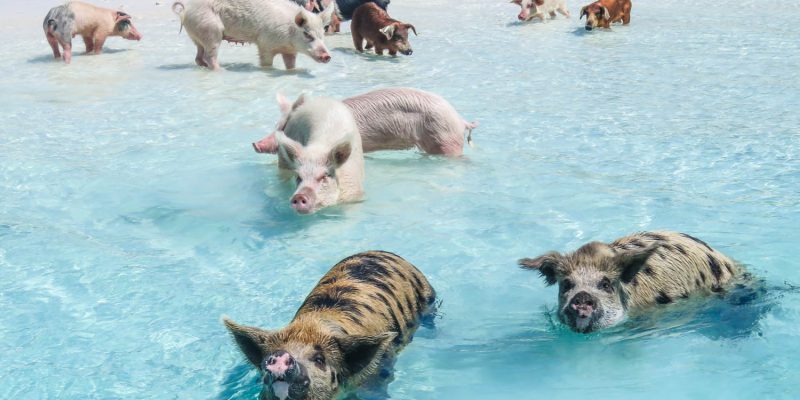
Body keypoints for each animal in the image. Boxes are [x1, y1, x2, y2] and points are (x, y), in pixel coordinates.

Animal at [171, 0, 334, 70]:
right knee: (209, 56)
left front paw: (293, 71)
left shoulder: (290, 51)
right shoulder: (265, 44)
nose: (327, 56)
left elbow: (290, 65)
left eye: (322, 34)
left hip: (198, 35)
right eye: (307, 34)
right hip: (211, 31)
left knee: (198, 57)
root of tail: (186, 10)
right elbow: (266, 63)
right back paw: (222, 70)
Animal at [224, 250, 437, 400]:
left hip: (428, 298)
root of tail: (383, 251)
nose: (281, 355)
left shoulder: (379, 372)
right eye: (271, 353)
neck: (315, 325)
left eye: (319, 359)